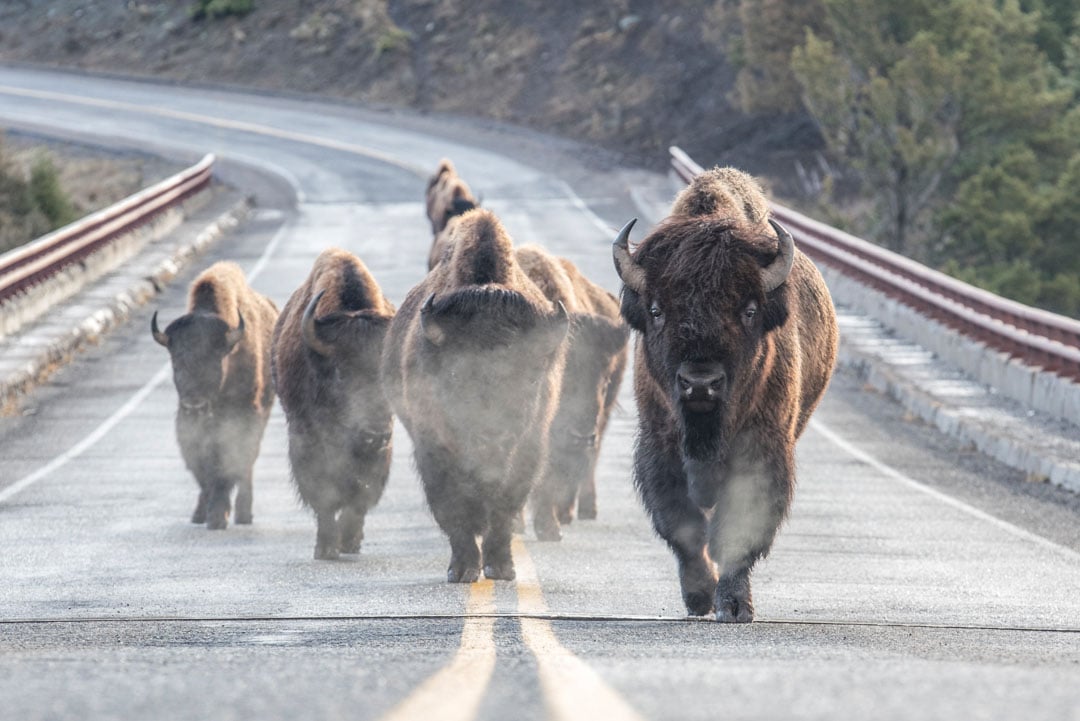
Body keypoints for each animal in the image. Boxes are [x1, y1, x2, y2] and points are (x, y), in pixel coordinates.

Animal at [152, 261, 279, 530]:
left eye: (215, 359)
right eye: (175, 361)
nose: (195, 406)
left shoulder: (242, 417)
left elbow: (227, 466)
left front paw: (219, 516)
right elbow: (202, 469)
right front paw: (207, 511)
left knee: (248, 465)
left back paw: (243, 514)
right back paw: (200, 513)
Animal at [271, 248, 396, 559]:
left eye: (386, 375)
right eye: (341, 372)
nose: (374, 434)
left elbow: (361, 493)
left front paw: (349, 541)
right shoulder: (306, 439)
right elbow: (324, 492)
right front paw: (326, 548)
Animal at [382, 209, 569, 582]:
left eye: (530, 379)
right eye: (456, 375)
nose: (491, 438)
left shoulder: (527, 450)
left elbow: (505, 508)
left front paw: (501, 567)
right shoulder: (433, 448)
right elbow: (452, 506)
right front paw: (462, 568)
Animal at [612, 167, 838, 622]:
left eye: (749, 310)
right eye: (657, 310)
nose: (700, 382)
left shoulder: (760, 450)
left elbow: (738, 529)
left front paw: (734, 606)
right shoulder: (660, 446)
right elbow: (684, 527)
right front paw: (699, 596)